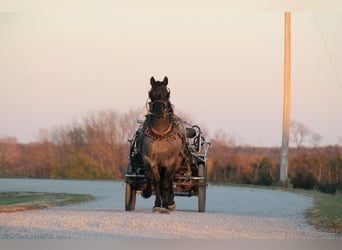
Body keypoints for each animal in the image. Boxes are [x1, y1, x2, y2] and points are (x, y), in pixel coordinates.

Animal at [140, 76, 186, 213]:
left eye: (167, 94)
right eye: (151, 94)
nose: (159, 112)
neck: (160, 134)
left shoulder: (170, 160)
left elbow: (165, 182)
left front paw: (166, 204)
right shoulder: (149, 159)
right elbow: (154, 179)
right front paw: (152, 199)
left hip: (176, 161)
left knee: (169, 180)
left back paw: (169, 202)